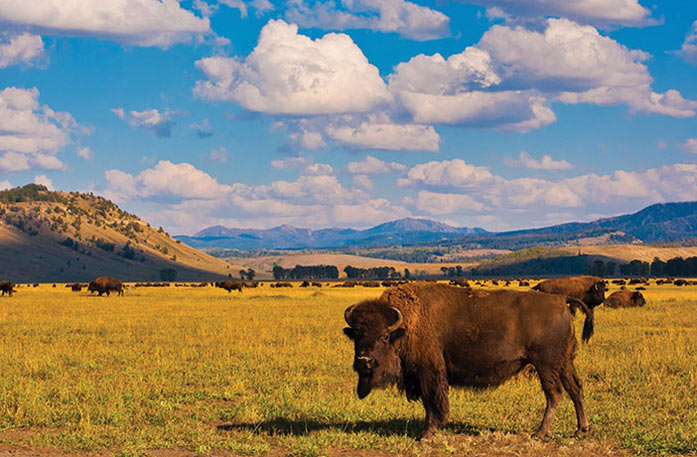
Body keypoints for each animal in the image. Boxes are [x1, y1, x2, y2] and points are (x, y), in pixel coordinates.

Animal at [342, 284, 592, 440]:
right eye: (356, 335)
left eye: (384, 336)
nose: (364, 361)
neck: (405, 326)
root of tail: (560, 300)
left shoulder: (429, 372)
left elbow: (432, 401)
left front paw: (426, 433)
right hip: (564, 362)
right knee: (575, 389)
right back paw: (581, 430)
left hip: (546, 364)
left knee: (554, 393)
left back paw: (540, 432)